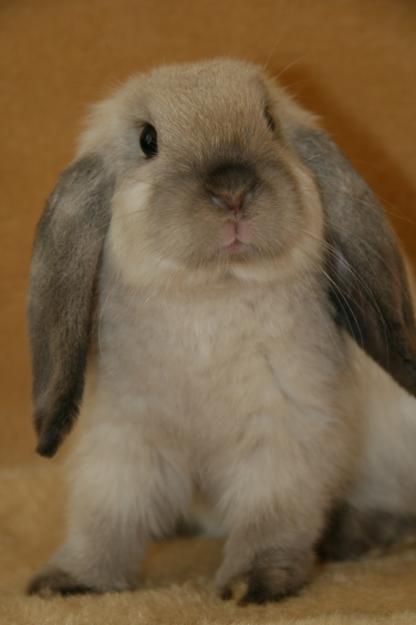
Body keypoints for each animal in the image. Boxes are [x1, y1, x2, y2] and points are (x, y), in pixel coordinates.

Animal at [26, 59, 416, 604]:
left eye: (270, 122)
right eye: (148, 140)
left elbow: (269, 517)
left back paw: (357, 538)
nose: (232, 191)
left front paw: (250, 585)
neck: (210, 297)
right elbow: (106, 518)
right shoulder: (123, 441)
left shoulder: (284, 431)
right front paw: (66, 582)